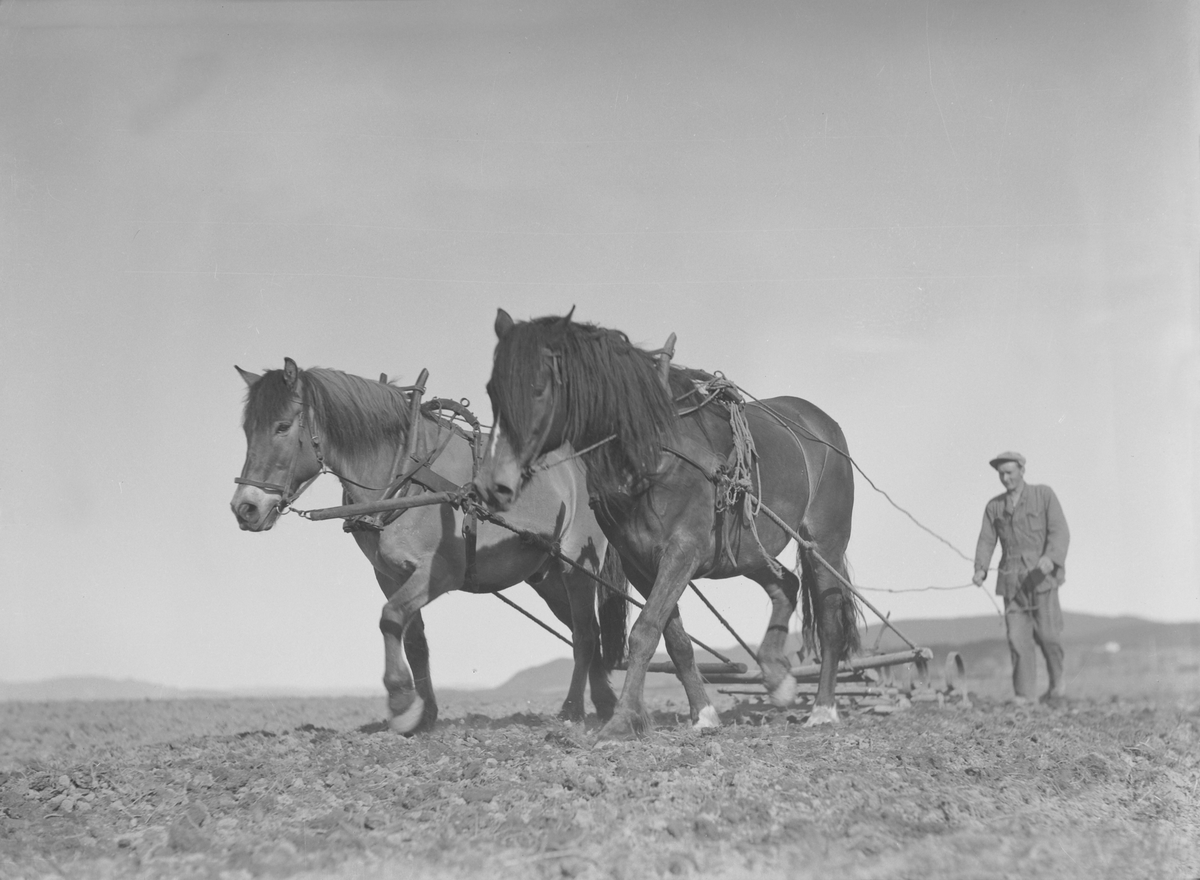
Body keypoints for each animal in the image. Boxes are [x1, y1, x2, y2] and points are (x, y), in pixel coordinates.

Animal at [229, 357, 633, 734]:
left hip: (576, 565)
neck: (405, 473)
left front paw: (401, 701)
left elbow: (390, 617)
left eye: (283, 426)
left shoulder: (440, 571)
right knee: (586, 632)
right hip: (546, 578)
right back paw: (606, 703)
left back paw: (573, 710)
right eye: (247, 429)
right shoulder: (389, 575)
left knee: (585, 635)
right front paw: (425, 715)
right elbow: (414, 641)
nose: (245, 508)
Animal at [472, 312, 859, 739]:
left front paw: (622, 719)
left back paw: (823, 708)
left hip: (823, 544)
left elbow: (644, 630)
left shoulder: (682, 550)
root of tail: (824, 425)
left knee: (830, 620)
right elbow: (673, 638)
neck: (652, 452)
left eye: (538, 388)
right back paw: (777, 677)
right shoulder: (641, 563)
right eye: (492, 390)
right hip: (746, 549)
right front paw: (703, 714)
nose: (492, 484)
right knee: (785, 586)